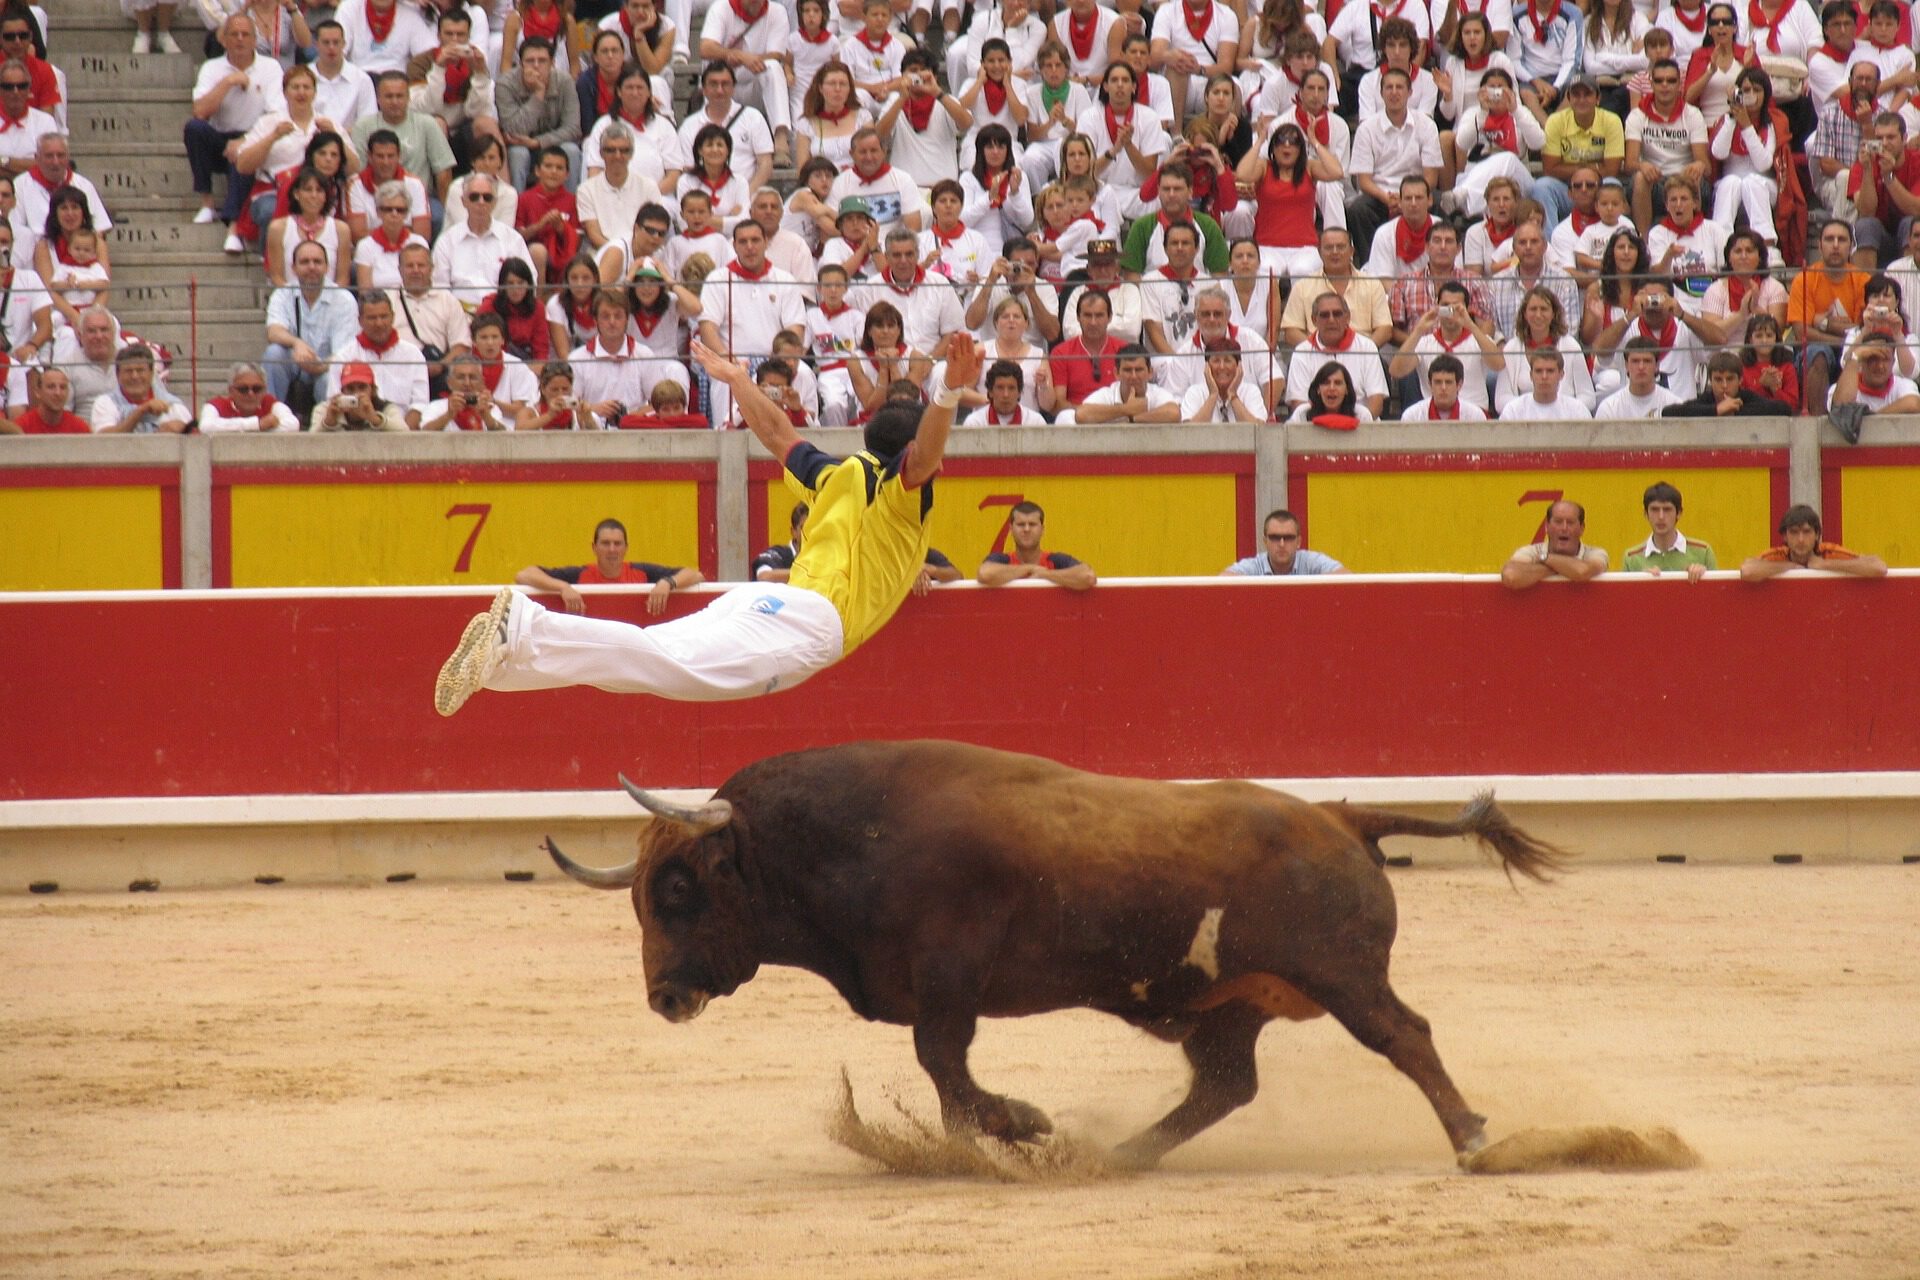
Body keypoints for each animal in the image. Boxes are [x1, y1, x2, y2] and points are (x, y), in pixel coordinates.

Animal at [549, 740, 1566, 1174]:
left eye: (680, 889)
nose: (664, 996)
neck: (848, 836)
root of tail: (1341, 817)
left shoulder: (948, 978)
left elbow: (943, 1064)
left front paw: (1015, 1130)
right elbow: (945, 1072)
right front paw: (1007, 1138)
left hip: (1344, 976)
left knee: (1405, 1035)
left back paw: (1475, 1138)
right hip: (1229, 1004)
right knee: (1225, 1085)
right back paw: (1114, 1155)